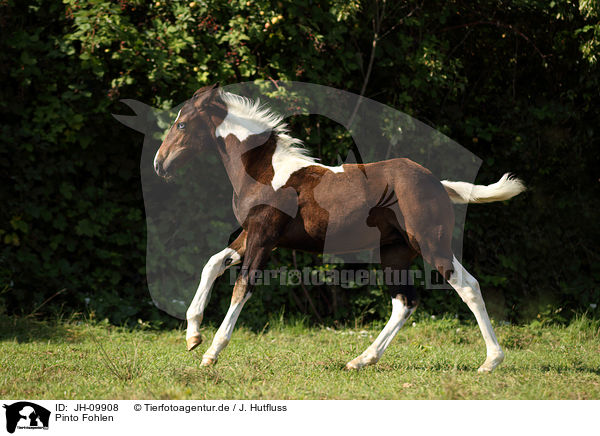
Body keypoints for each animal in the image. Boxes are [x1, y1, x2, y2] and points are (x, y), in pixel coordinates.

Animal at [155, 83, 524, 372]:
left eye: (182, 124)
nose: (160, 164)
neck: (266, 172)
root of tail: (438, 184)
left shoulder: (263, 237)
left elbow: (242, 286)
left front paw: (212, 352)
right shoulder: (252, 235)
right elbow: (213, 263)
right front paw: (192, 335)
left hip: (431, 244)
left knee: (467, 287)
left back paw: (491, 361)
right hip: (395, 251)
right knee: (405, 302)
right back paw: (361, 360)